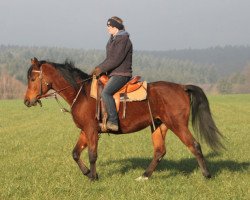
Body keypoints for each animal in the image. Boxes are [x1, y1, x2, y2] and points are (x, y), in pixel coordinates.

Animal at [23, 57, 223, 181]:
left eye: (32, 78)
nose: (26, 101)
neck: (82, 94)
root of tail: (182, 87)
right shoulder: (85, 131)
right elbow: (75, 153)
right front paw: (87, 173)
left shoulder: (91, 130)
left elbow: (92, 155)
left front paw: (93, 177)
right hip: (159, 125)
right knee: (159, 151)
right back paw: (144, 176)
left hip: (178, 125)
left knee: (194, 145)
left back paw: (206, 175)